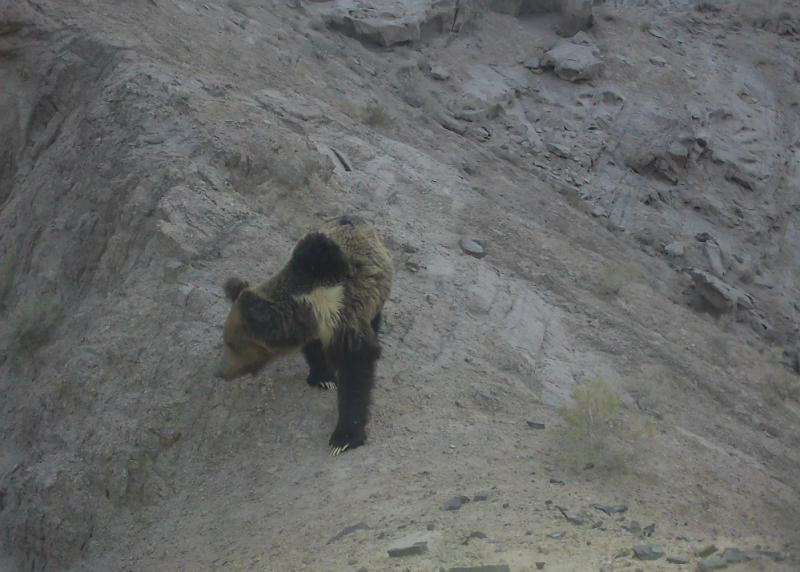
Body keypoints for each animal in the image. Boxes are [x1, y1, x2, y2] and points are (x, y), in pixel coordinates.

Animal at [216, 216, 394, 456]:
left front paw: (344, 437)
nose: (220, 371)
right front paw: (323, 378)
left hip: (376, 296)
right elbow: (314, 352)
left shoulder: (345, 315)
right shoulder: (313, 328)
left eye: (232, 344)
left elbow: (356, 368)